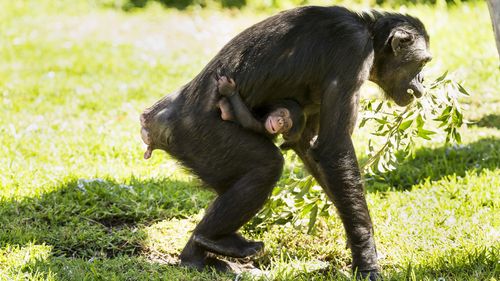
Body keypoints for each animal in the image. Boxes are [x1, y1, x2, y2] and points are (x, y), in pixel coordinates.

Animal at [139, 5, 432, 278]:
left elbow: (311, 147)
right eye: (422, 63)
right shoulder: (352, 51)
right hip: (201, 138)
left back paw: (197, 257)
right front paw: (366, 258)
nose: (423, 81)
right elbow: (335, 147)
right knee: (265, 167)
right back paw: (214, 240)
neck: (370, 36)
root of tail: (154, 121)